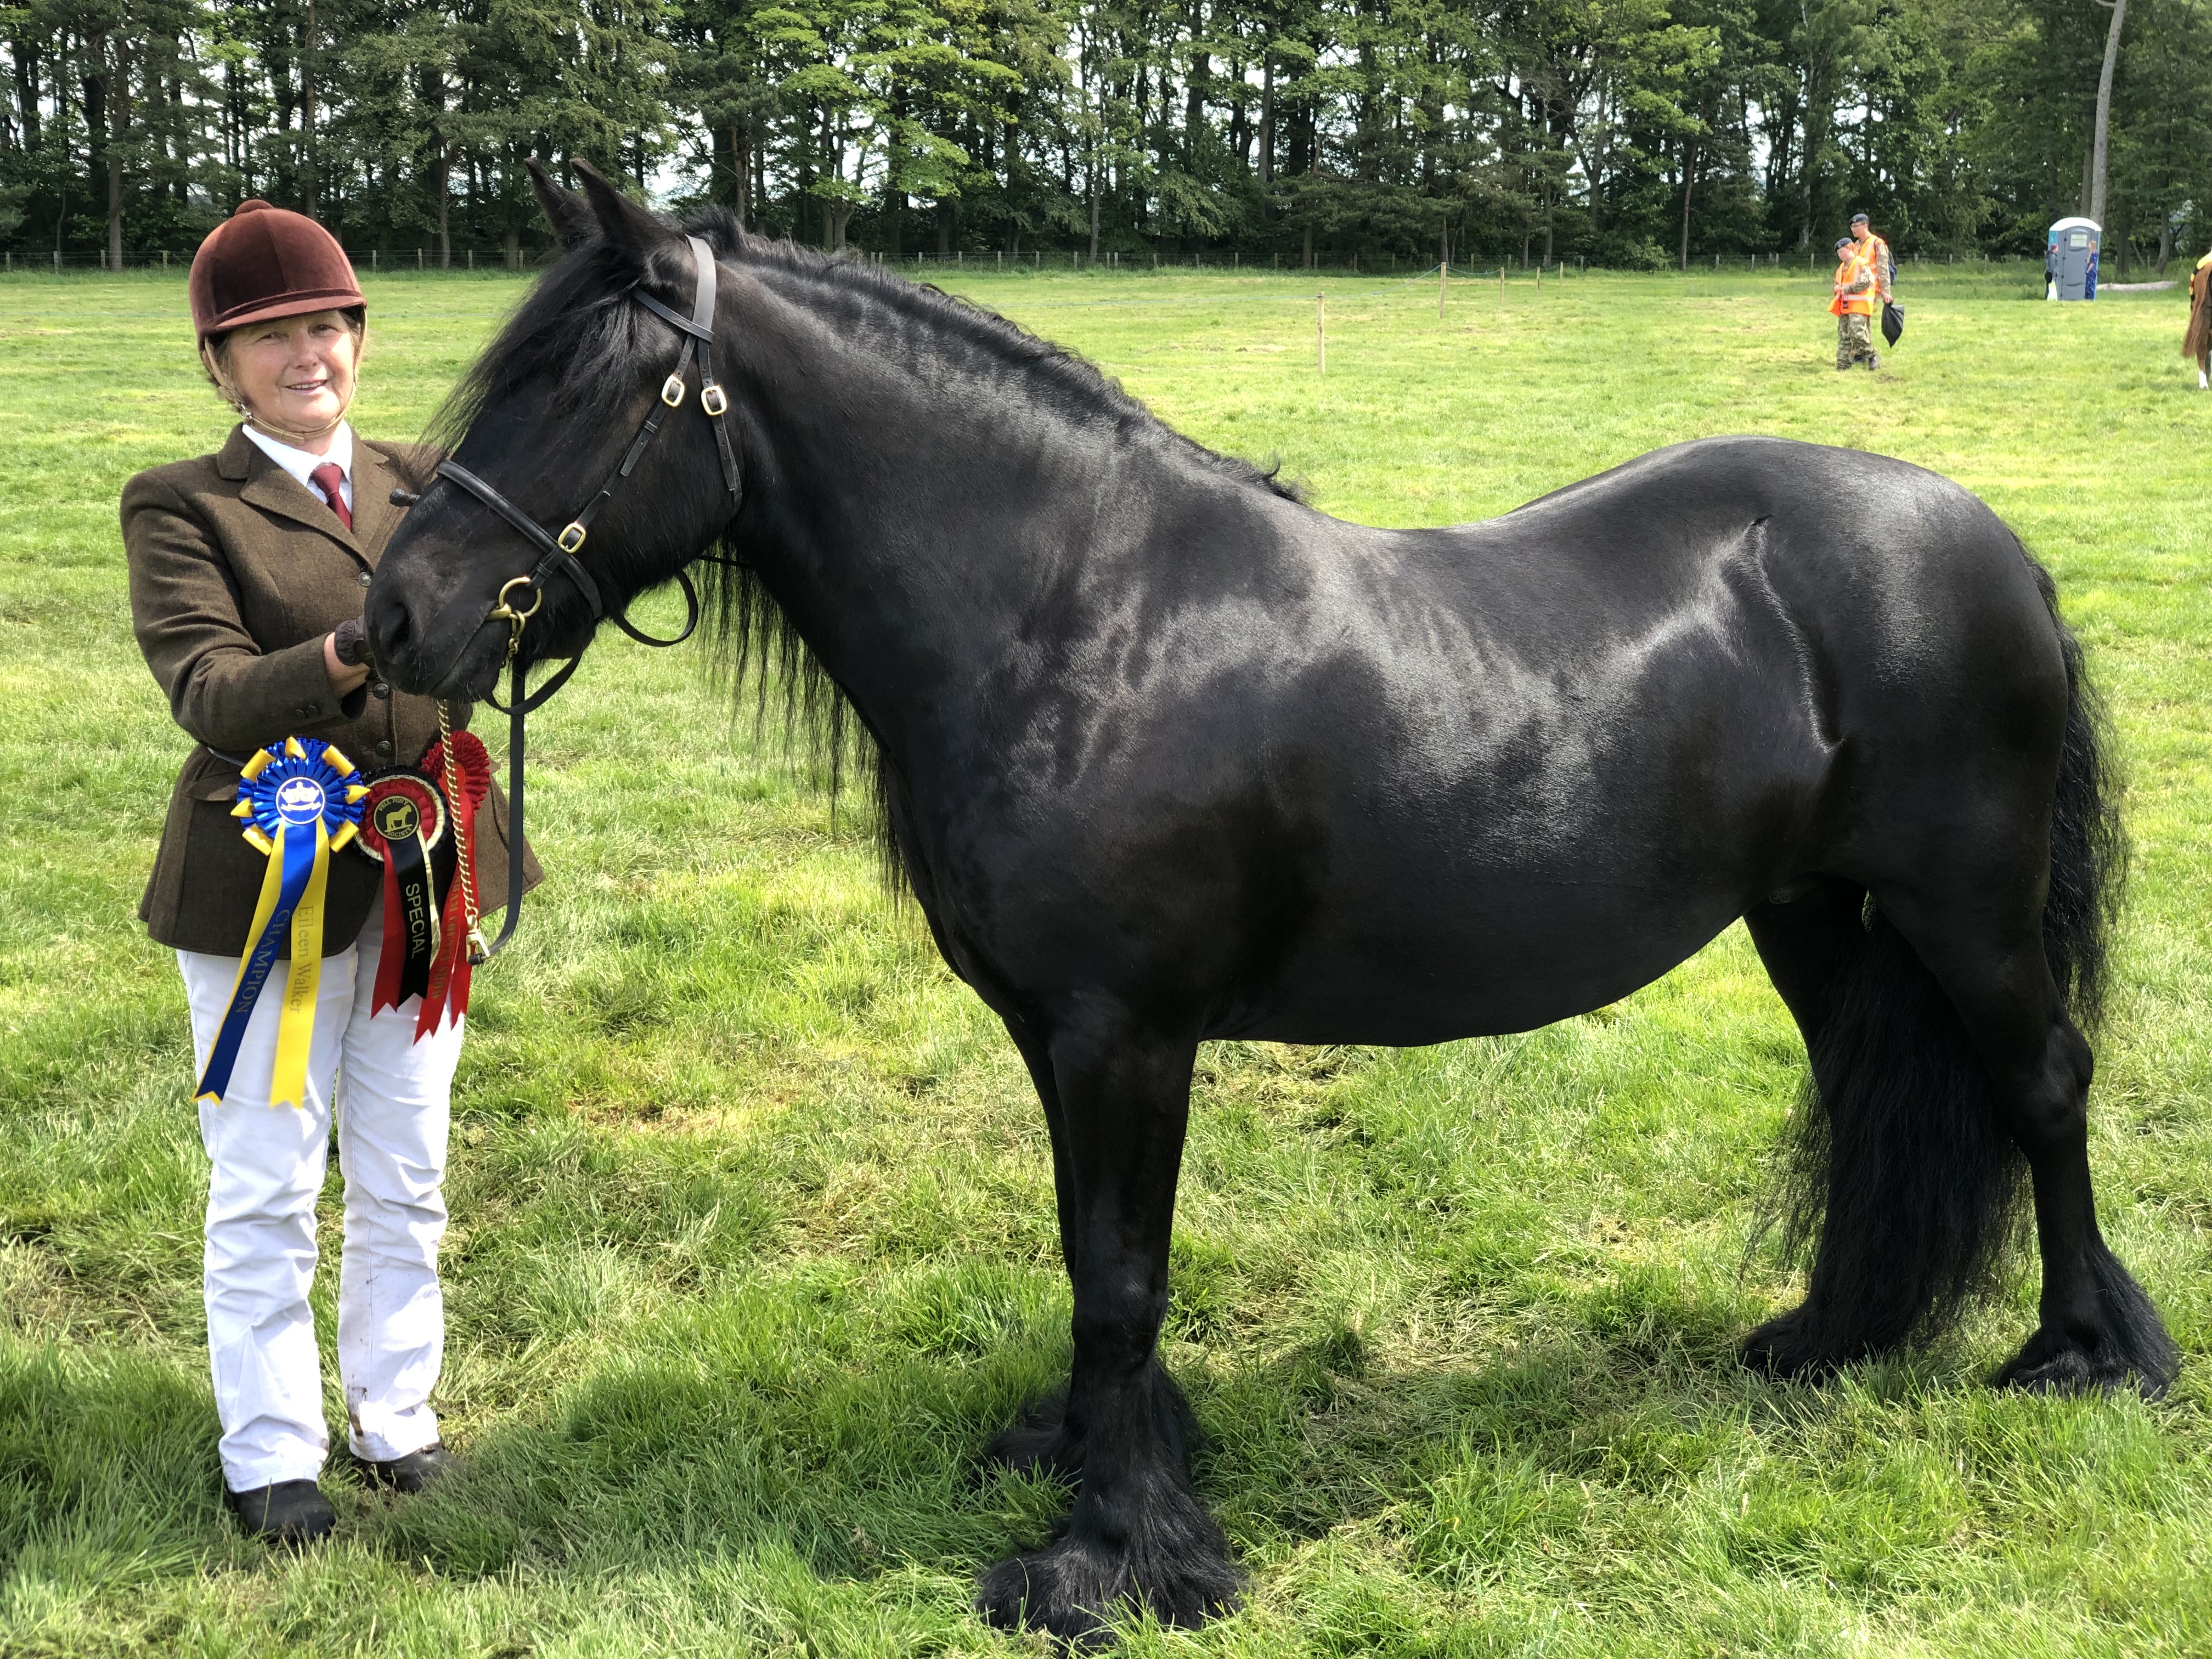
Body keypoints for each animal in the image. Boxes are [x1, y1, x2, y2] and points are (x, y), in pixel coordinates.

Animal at [367, 162, 2176, 1645]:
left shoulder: (1127, 1034)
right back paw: (1836, 1335)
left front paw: (1113, 1561)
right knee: (1882, 1094)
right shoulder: (1060, 1037)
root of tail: (1986, 542)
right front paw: (1094, 1458)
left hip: (1964, 904)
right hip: (1811, 912)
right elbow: (1091, 1253)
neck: (1073, 619)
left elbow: (1123, 1276)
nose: (394, 618)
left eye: (585, 384)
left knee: (2043, 1088)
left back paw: (2089, 1357)